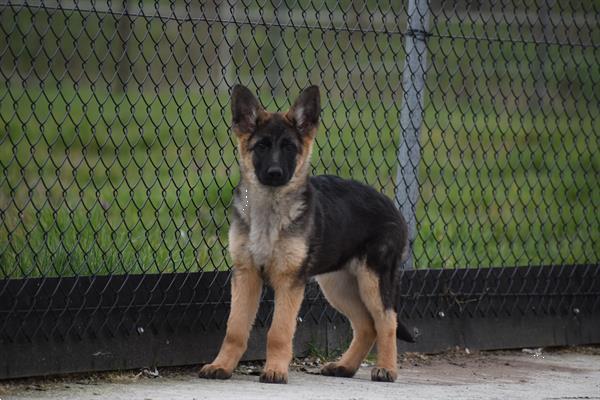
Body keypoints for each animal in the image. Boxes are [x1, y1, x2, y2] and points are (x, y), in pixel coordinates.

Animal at [199, 85, 410, 384]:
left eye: (290, 148)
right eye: (261, 146)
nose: (275, 173)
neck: (270, 210)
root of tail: (391, 205)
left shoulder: (289, 282)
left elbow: (279, 332)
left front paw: (275, 370)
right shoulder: (245, 275)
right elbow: (235, 329)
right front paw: (222, 366)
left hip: (373, 280)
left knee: (386, 321)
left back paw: (387, 369)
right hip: (338, 285)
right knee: (366, 325)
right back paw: (344, 366)